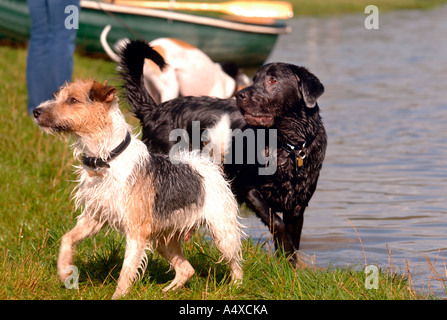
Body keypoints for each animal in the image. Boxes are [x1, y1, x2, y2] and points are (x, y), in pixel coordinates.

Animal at [32, 79, 243, 298]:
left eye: (72, 100)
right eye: (58, 97)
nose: (35, 112)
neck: (107, 159)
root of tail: (209, 164)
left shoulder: (136, 232)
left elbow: (126, 271)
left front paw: (118, 296)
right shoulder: (94, 217)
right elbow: (67, 239)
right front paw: (65, 271)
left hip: (223, 232)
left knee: (235, 263)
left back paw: (235, 287)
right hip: (163, 240)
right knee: (187, 269)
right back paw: (168, 290)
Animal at [121, 40, 328, 264]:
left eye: (272, 80)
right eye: (255, 79)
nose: (240, 95)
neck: (288, 146)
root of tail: (154, 110)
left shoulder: (297, 206)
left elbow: (294, 238)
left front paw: (289, 265)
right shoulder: (248, 189)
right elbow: (277, 223)